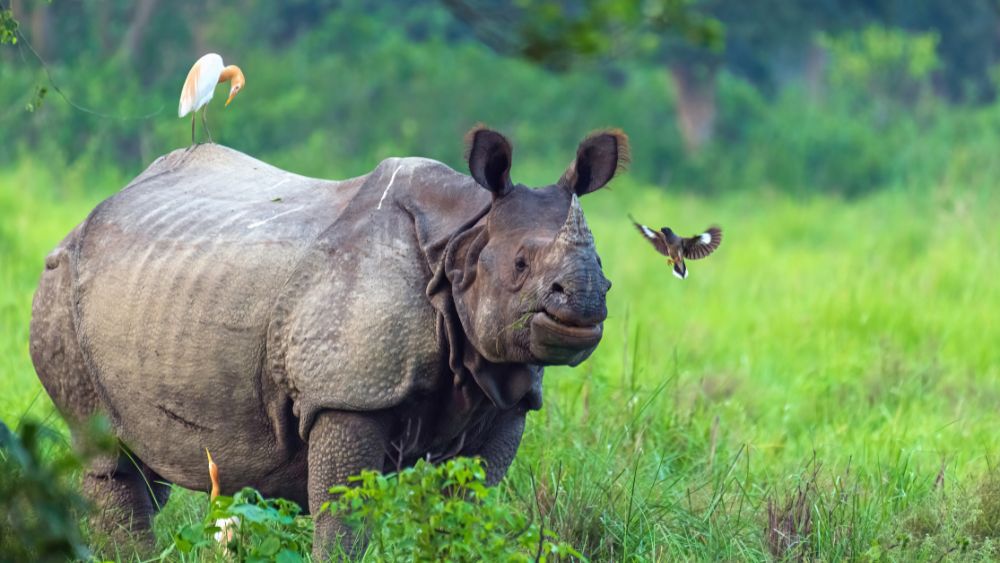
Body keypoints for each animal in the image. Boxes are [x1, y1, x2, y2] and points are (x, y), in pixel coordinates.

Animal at [29, 127, 628, 556]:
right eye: (521, 266)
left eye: (602, 264)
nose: (585, 302)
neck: (465, 238)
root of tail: (89, 214)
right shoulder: (348, 393)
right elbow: (345, 512)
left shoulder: (503, 396)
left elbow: (465, 506)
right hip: (59, 289)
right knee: (109, 454)